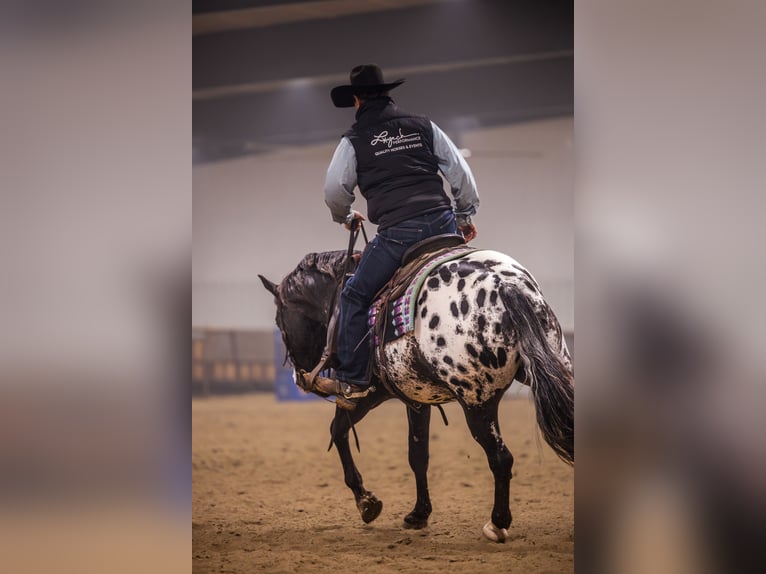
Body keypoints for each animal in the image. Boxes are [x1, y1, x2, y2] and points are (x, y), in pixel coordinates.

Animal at [258, 246, 573, 543]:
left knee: (500, 458)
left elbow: (337, 430)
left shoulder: (368, 393)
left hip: (477, 403)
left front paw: (366, 502)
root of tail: (505, 284)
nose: (300, 378)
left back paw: (497, 523)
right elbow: (418, 454)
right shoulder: (418, 399)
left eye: (279, 320)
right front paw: (419, 513)